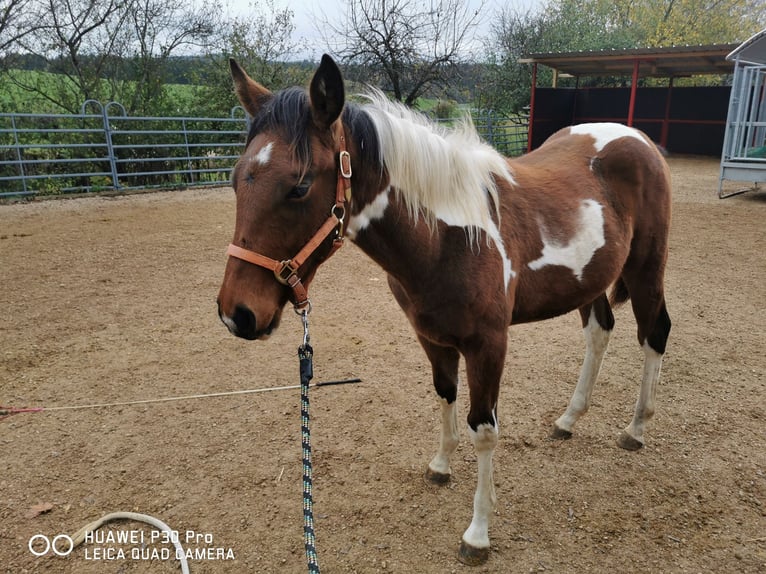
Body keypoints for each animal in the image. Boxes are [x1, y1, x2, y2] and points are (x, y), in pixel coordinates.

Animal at [216, 55, 672, 565]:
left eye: (298, 187)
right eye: (235, 180)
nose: (238, 313)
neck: (446, 237)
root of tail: (635, 138)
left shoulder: (489, 345)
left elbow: (484, 429)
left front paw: (478, 533)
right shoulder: (432, 337)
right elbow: (444, 395)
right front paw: (440, 464)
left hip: (646, 268)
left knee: (654, 333)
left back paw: (635, 428)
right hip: (590, 280)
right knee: (599, 331)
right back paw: (568, 420)